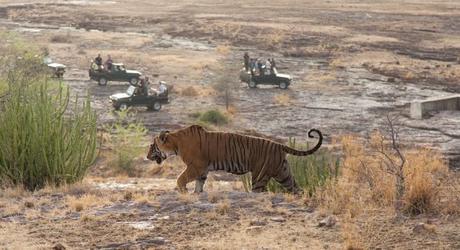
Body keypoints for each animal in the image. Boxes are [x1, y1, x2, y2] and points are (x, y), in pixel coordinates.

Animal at [147, 125, 324, 193]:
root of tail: (279, 145)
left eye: (152, 145)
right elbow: (199, 183)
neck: (175, 144)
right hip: (284, 173)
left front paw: (183, 190)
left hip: (260, 176)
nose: (147, 156)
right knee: (296, 188)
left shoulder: (195, 166)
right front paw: (196, 193)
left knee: (259, 190)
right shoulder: (202, 170)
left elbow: (180, 178)